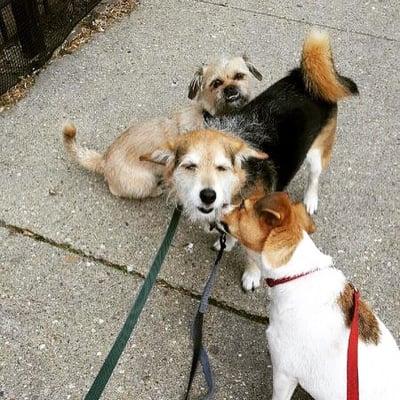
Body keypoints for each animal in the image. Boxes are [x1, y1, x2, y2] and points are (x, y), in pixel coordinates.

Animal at [61, 55, 262, 199]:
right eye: (216, 83)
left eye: (239, 76)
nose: (230, 90)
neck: (210, 116)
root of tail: (104, 160)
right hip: (144, 180)